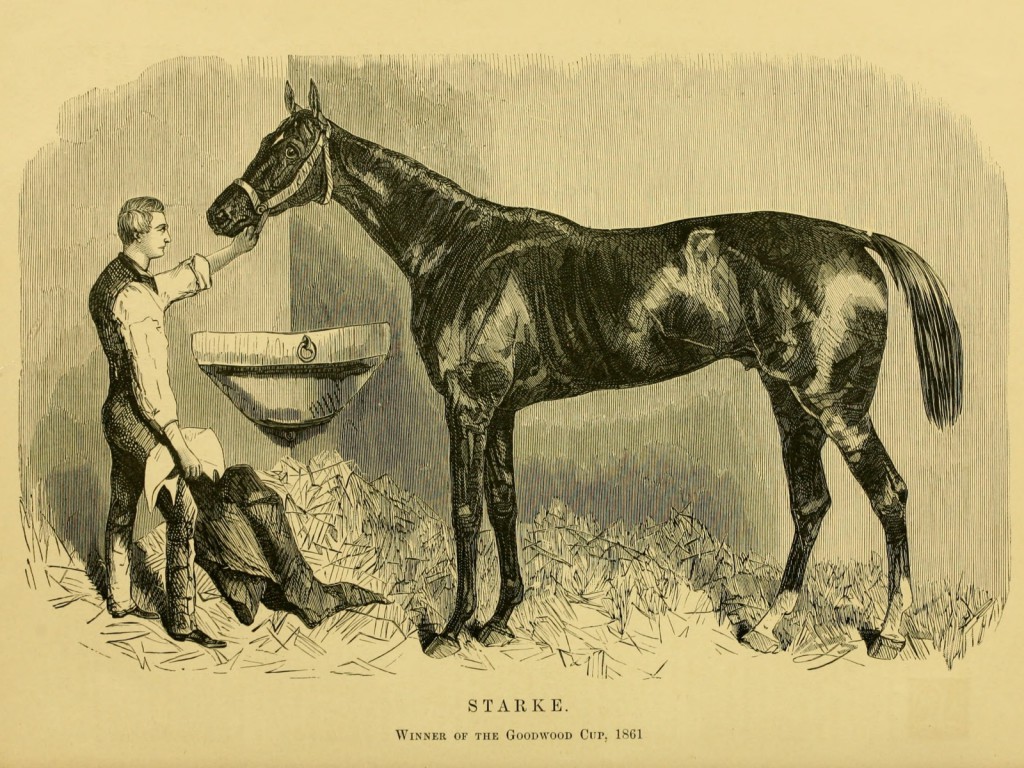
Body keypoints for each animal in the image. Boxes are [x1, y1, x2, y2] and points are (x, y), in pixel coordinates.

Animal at [207, 80, 963, 661]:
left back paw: (891, 632)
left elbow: (466, 512)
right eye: (263, 143)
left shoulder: (468, 406)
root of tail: (858, 240)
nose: (222, 212)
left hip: (836, 407)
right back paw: (769, 625)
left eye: (288, 149)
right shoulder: (502, 410)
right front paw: (500, 618)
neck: (460, 247)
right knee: (811, 504)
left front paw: (452, 629)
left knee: (889, 494)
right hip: (790, 402)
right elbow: (504, 504)